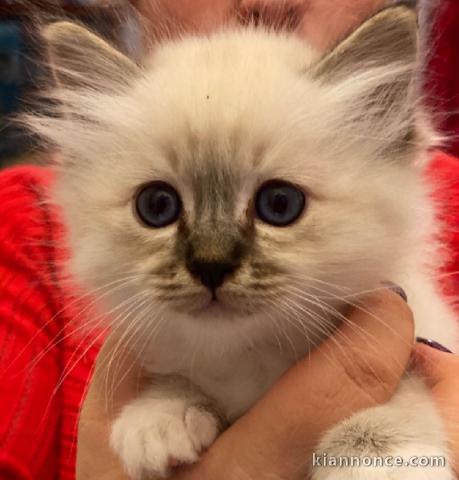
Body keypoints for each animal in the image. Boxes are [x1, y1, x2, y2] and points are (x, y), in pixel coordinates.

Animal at [30, 4, 458, 480]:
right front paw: (158, 421)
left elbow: (390, 406)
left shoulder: (419, 340)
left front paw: (383, 463)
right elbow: (175, 379)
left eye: (279, 204)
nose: (211, 264)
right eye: (157, 206)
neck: (253, 357)